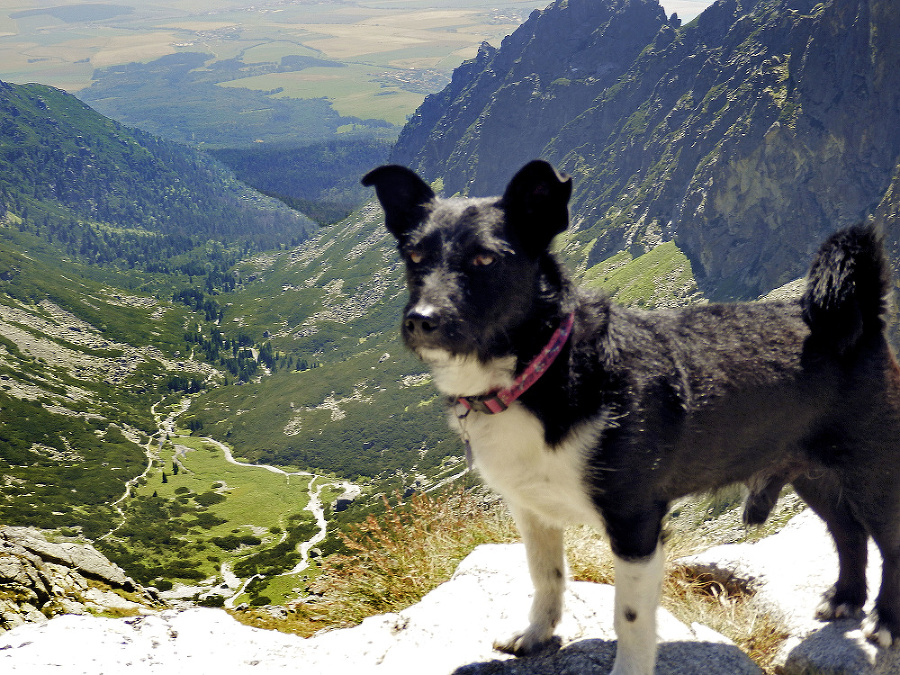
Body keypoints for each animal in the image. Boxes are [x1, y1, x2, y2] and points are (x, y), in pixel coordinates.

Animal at [362, 161, 900, 672]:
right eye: (413, 257)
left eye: (484, 259)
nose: (421, 320)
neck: (544, 370)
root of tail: (861, 316)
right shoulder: (532, 510)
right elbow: (546, 576)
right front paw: (538, 635)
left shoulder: (635, 524)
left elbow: (632, 617)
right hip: (811, 471)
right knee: (848, 533)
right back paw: (845, 598)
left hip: (873, 473)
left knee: (886, 540)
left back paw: (885, 622)